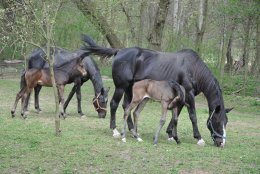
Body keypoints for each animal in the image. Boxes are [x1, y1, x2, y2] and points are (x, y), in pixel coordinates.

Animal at [81, 34, 234, 147]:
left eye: (226, 121)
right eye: (217, 120)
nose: (221, 143)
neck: (193, 69)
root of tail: (119, 51)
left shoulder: (181, 97)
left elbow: (176, 115)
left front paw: (171, 134)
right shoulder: (189, 94)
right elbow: (192, 116)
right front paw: (199, 138)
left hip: (131, 89)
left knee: (126, 107)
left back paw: (132, 131)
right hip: (121, 87)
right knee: (114, 104)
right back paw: (115, 131)